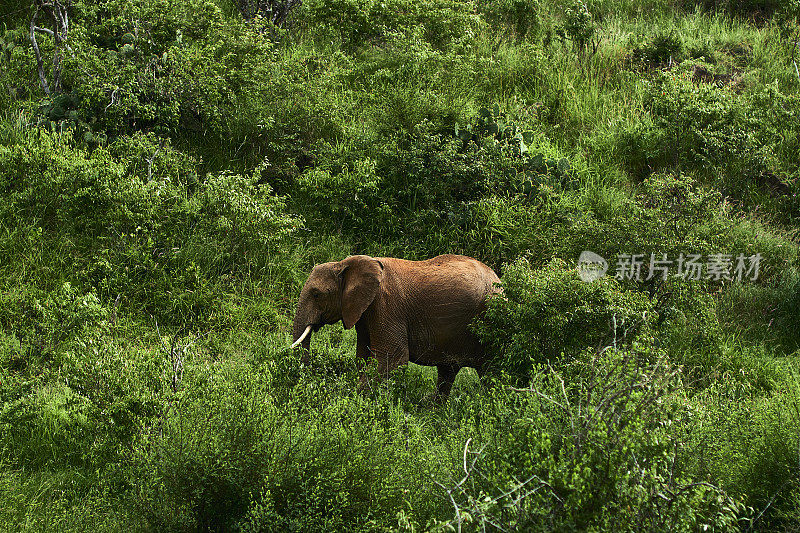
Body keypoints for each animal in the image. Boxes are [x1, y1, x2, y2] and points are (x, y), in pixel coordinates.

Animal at [290, 252, 500, 394]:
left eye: (317, 294)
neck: (344, 264)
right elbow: (363, 355)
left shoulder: (386, 304)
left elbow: (393, 357)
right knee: (447, 372)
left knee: (491, 373)